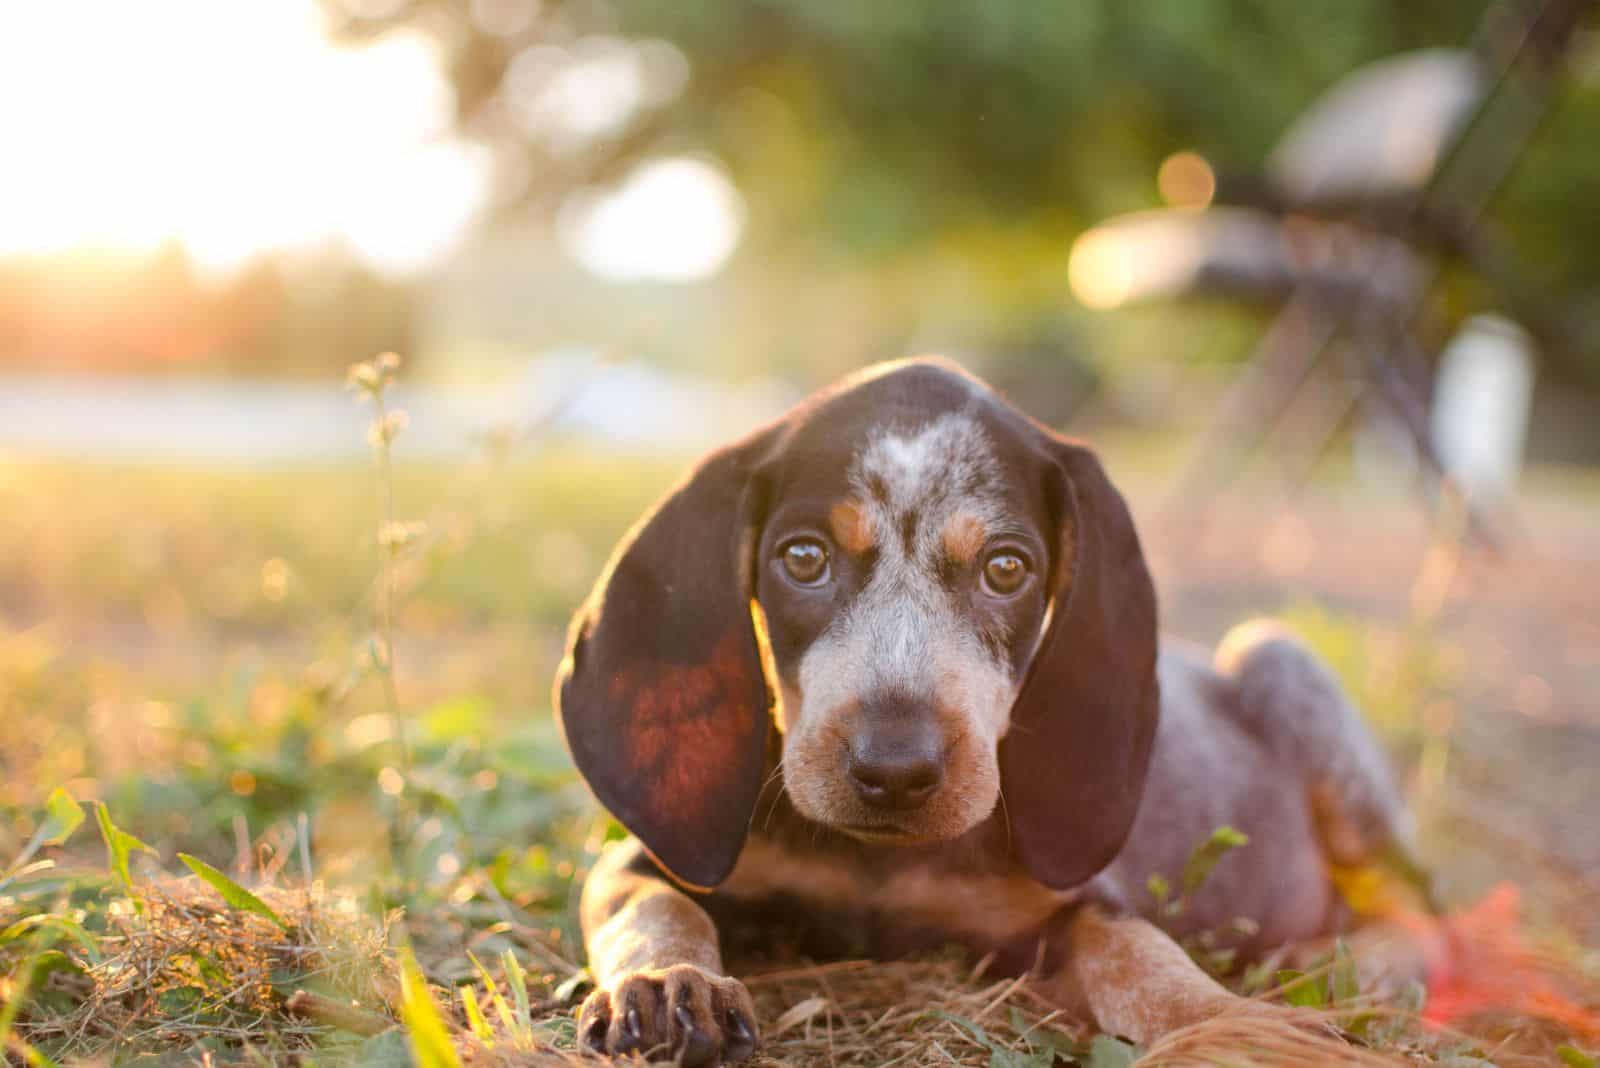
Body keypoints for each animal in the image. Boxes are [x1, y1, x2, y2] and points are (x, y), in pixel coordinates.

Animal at [553, 356, 1414, 1061]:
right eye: (802, 558)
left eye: (1006, 569)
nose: (894, 771)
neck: (880, 866)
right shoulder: (646, 860)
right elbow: (652, 907)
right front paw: (669, 982)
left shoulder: (1069, 909)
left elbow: (1141, 956)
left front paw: (1236, 1022)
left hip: (1282, 662)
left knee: (1414, 909)